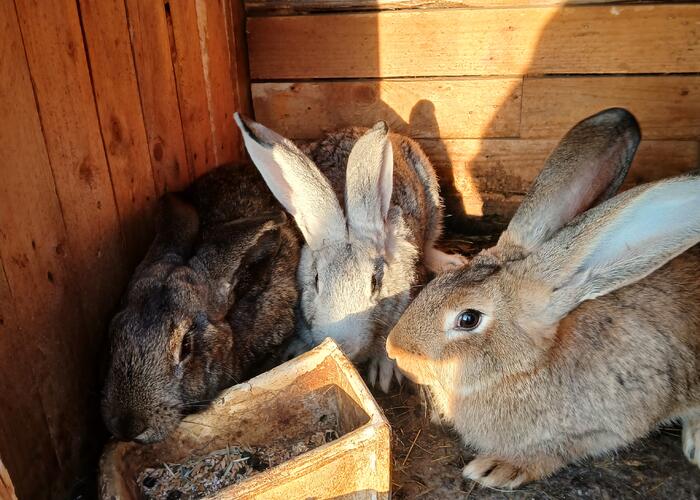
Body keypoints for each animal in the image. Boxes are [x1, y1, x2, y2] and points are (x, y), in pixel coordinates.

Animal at [232, 114, 468, 394]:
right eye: (316, 280)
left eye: (375, 282)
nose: (345, 345)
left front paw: (383, 373)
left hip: (432, 200)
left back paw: (450, 263)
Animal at [386, 108, 700, 488]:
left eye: (468, 319)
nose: (393, 349)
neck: (525, 368)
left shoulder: (613, 420)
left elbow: (562, 450)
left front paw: (496, 468)